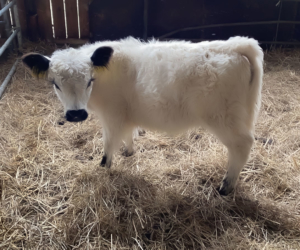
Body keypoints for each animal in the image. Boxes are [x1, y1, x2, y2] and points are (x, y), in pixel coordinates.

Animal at [22, 36, 262, 195]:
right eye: (55, 84)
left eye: (90, 80)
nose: (75, 114)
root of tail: (235, 45)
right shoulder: (125, 114)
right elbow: (129, 133)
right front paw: (129, 152)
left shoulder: (112, 114)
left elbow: (109, 142)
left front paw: (105, 166)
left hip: (224, 118)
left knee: (242, 145)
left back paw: (226, 186)